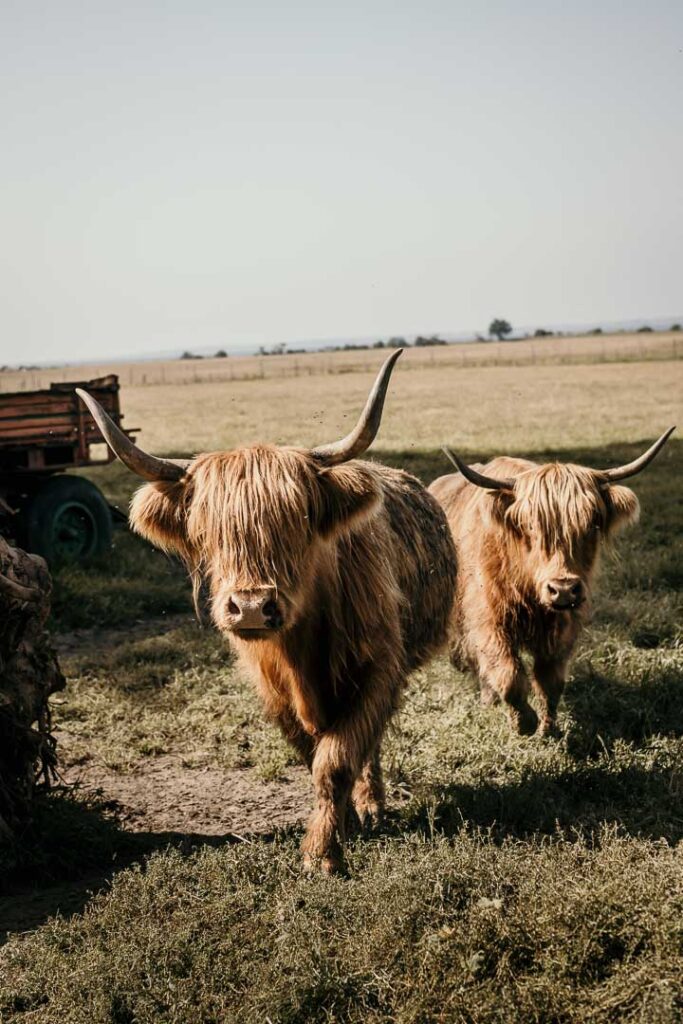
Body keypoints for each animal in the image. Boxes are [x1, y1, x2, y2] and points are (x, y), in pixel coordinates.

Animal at [77, 351, 456, 873]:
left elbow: (337, 760)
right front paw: (342, 826)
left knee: (371, 744)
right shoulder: (272, 690)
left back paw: (372, 804)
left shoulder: (380, 666)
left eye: (297, 521)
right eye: (207, 529)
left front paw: (323, 852)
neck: (302, 654)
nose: (252, 607)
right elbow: (313, 756)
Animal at [428, 430, 674, 737]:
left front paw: (548, 726)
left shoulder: (563, 625)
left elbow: (550, 680)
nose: (564, 589)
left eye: (592, 524)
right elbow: (508, 674)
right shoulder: (488, 620)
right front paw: (524, 722)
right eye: (530, 526)